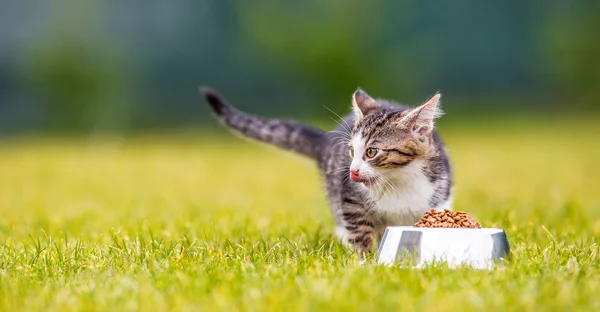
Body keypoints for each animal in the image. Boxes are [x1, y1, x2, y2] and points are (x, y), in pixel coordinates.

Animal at [202, 88, 450, 254]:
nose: (353, 171)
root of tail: (325, 141)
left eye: (371, 152)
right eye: (351, 151)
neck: (398, 180)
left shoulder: (439, 195)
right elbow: (360, 231)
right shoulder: (350, 199)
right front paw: (366, 262)